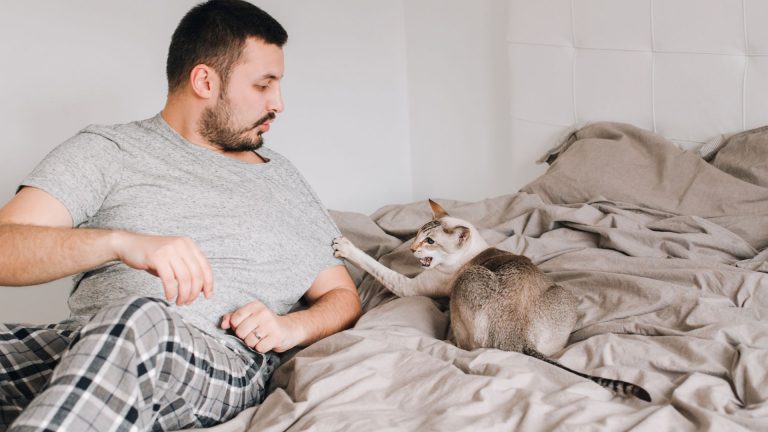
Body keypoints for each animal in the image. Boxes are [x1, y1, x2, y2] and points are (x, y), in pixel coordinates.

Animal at [332, 199, 652, 402]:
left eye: (430, 241)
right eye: (417, 234)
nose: (411, 249)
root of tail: (519, 338)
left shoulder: (410, 285)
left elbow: (378, 265)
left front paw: (345, 246)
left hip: (467, 282)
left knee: (466, 344)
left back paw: (449, 336)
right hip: (563, 293)